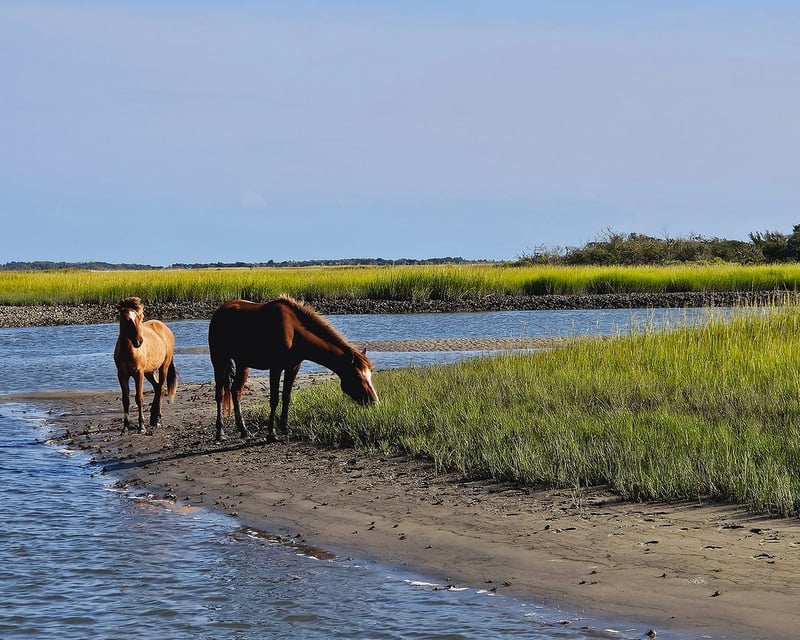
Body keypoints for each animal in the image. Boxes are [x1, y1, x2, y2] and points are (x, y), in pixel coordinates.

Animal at [113, 297, 177, 434]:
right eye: (126, 318)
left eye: (139, 317)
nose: (139, 341)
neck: (129, 351)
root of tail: (165, 329)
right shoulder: (122, 374)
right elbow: (125, 399)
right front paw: (125, 428)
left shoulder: (139, 373)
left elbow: (139, 398)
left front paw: (141, 427)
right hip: (149, 372)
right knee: (158, 387)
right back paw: (154, 418)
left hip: (163, 367)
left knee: (161, 388)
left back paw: (157, 420)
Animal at [208, 296, 379, 442]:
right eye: (357, 377)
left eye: (370, 375)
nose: (375, 402)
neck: (294, 331)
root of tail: (220, 311)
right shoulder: (276, 368)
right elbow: (274, 399)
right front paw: (272, 433)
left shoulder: (293, 367)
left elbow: (287, 397)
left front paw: (285, 428)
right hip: (219, 360)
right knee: (220, 394)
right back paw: (220, 432)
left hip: (243, 364)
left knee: (236, 391)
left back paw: (243, 430)